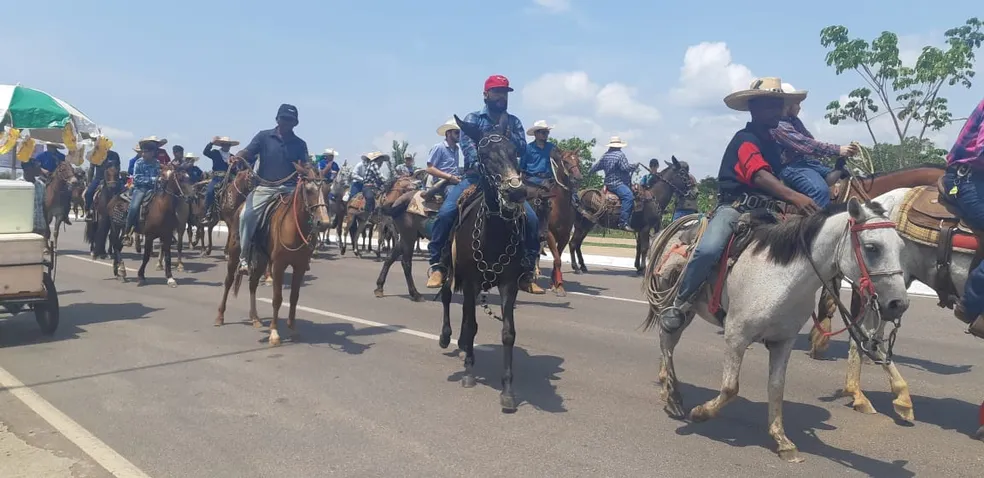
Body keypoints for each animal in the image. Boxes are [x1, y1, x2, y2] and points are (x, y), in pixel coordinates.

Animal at [215, 162, 330, 348]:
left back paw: (255, 317)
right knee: (228, 281)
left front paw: (292, 329)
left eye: (327, 189)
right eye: (308, 190)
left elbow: (294, 297)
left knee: (253, 284)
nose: (324, 223)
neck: (294, 226)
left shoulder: (299, 266)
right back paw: (220, 316)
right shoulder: (278, 266)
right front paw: (274, 333)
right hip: (234, 255)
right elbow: (277, 298)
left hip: (262, 261)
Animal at [438, 114, 532, 412]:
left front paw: (508, 391)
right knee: (446, 296)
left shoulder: (508, 284)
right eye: (485, 155)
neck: (493, 233)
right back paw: (447, 337)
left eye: (514, 152)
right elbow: (469, 325)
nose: (517, 192)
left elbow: (508, 333)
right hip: (448, 268)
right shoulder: (469, 280)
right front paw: (468, 373)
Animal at [532, 149, 584, 296]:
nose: (577, 178)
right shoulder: (549, 234)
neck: (560, 205)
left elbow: (557, 259)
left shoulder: (564, 236)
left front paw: (556, 284)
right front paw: (558, 285)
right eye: (565, 161)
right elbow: (557, 260)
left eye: (578, 160)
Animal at [640, 196, 912, 462]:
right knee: (667, 340)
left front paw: (782, 440)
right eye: (872, 247)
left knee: (669, 343)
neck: (782, 279)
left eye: (901, 248)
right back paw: (673, 398)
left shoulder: (784, 341)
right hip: (675, 305)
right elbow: (730, 388)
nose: (898, 304)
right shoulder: (736, 336)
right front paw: (701, 413)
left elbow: (776, 387)